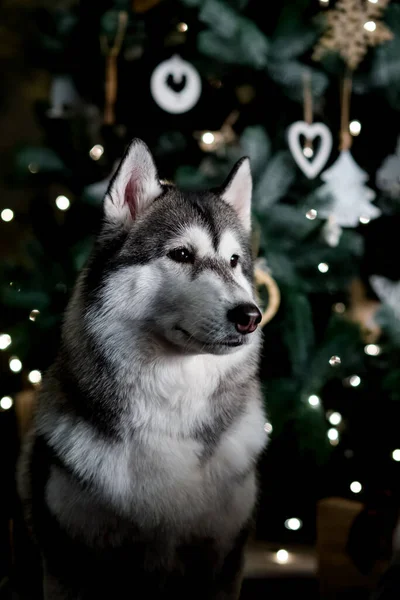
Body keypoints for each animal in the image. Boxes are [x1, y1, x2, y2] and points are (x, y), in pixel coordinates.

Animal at [18, 138, 268, 596]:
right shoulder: (68, 565)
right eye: (181, 254)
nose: (250, 316)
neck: (172, 405)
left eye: (234, 261)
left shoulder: (223, 561)